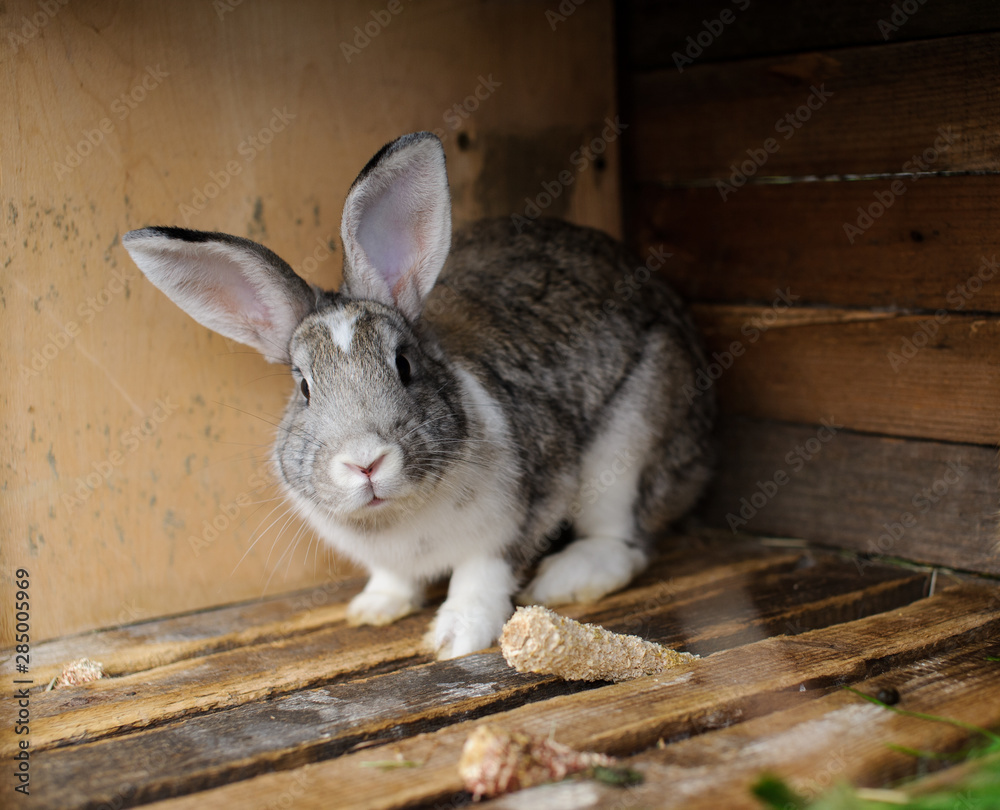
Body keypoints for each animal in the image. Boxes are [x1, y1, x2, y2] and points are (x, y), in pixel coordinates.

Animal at [122, 132, 715, 659]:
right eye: (303, 386)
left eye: (405, 365)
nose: (365, 463)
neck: (398, 515)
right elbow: (393, 577)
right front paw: (374, 609)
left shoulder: (522, 512)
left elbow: (482, 575)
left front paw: (456, 638)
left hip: (631, 439)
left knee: (625, 541)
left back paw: (566, 579)